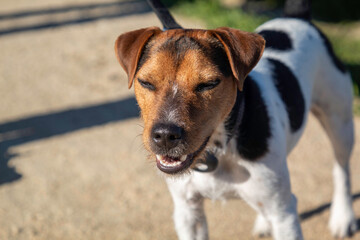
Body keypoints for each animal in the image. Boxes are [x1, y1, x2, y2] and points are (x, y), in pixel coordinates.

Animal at [114, 0, 358, 238]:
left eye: (209, 84)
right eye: (146, 82)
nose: (165, 135)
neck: (219, 149)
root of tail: (296, 17)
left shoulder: (284, 215)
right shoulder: (188, 211)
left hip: (340, 123)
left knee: (342, 170)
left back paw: (343, 217)